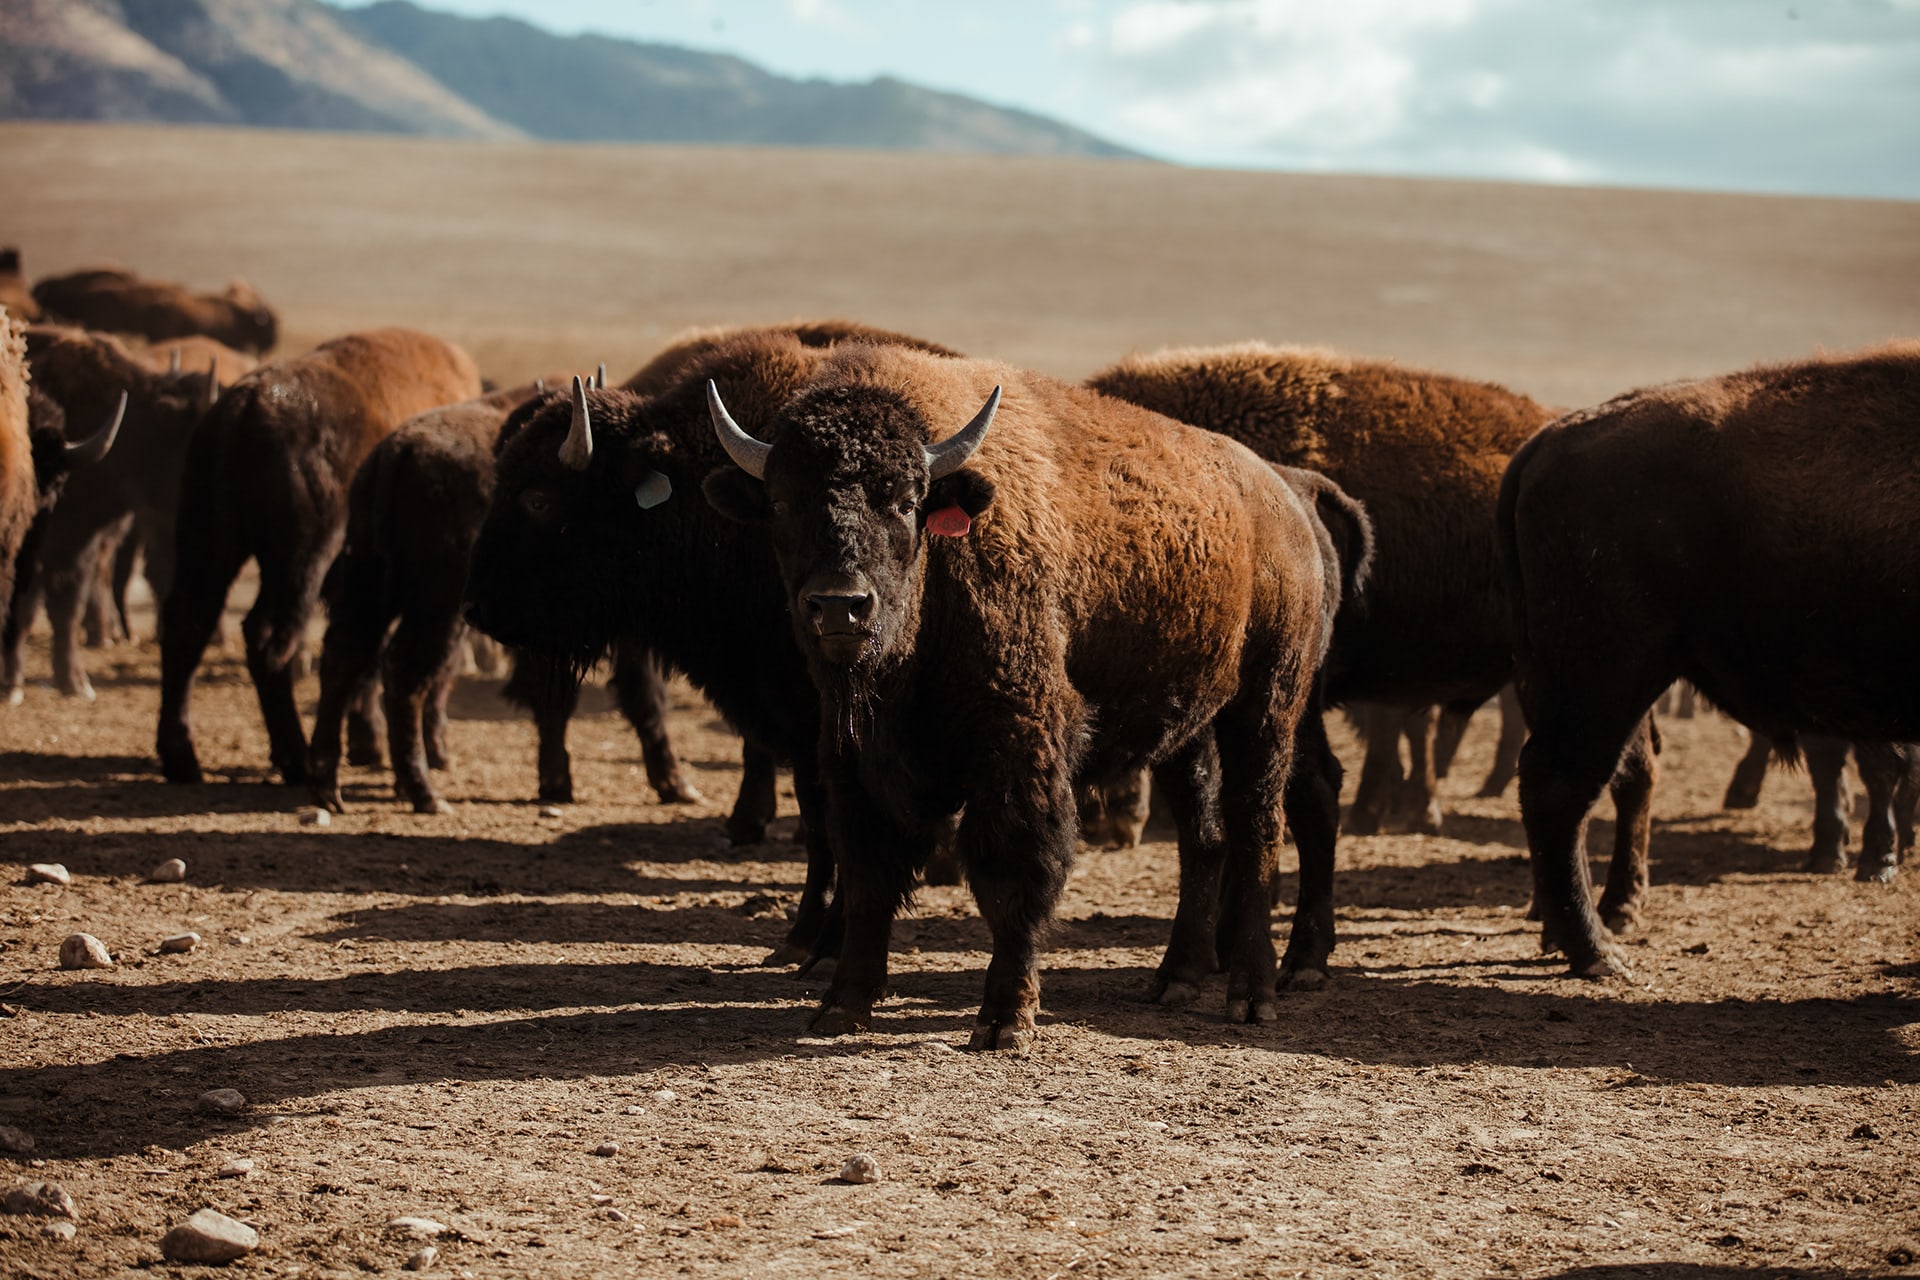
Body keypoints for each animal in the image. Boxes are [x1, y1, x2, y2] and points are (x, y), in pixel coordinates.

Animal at [157, 329, 480, 785]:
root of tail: (246, 403)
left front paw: (368, 742)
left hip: (208, 544)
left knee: (188, 623)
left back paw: (182, 758)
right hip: (302, 561)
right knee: (269, 638)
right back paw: (296, 759)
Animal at [703, 345, 1357, 1048]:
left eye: (905, 501)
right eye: (781, 502)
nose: (839, 606)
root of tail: (1286, 495)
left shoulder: (1016, 743)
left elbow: (1010, 875)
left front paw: (1004, 1021)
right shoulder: (855, 756)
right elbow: (868, 874)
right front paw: (841, 1006)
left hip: (1268, 704)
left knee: (1259, 825)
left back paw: (1254, 995)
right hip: (1188, 725)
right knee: (1202, 835)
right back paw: (1175, 979)